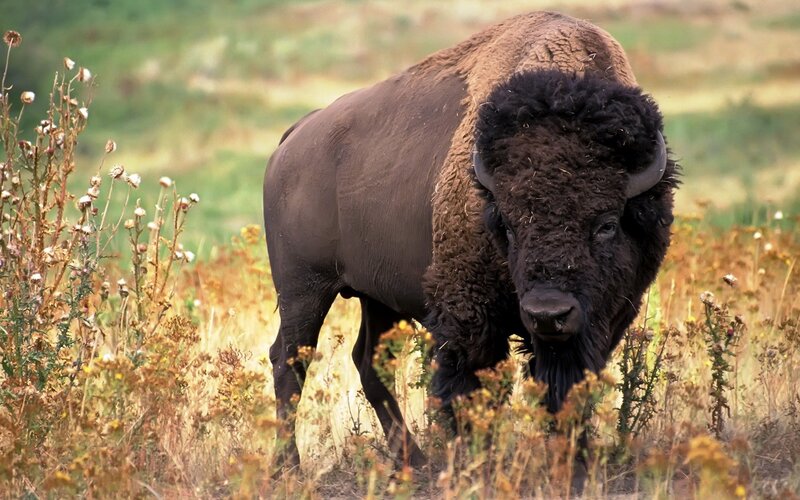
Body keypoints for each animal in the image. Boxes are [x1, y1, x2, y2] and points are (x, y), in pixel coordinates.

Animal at [263, 11, 678, 467]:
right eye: (508, 225)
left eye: (606, 223)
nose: (547, 313)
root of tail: (295, 136)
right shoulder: (468, 316)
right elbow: (469, 389)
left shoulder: (603, 320)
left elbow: (567, 390)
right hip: (303, 289)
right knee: (289, 361)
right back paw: (289, 466)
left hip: (376, 296)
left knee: (368, 361)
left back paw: (413, 461)